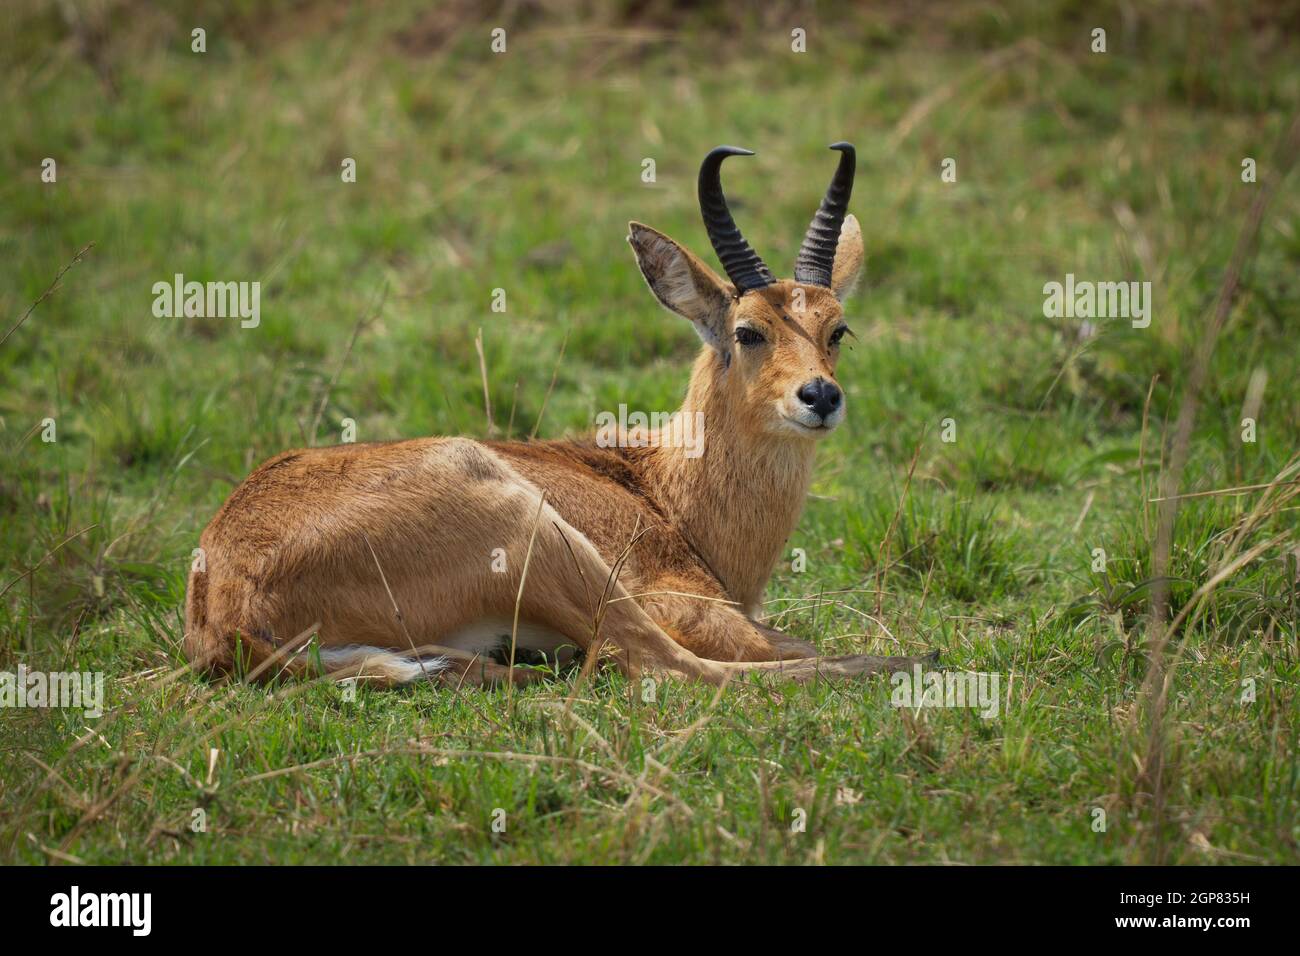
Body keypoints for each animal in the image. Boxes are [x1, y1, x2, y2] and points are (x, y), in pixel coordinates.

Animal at [183, 143, 935, 686]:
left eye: (838, 328)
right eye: (748, 331)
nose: (820, 397)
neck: (664, 490)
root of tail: (224, 603)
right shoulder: (680, 602)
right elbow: (774, 642)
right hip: (551, 546)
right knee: (663, 667)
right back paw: (907, 665)